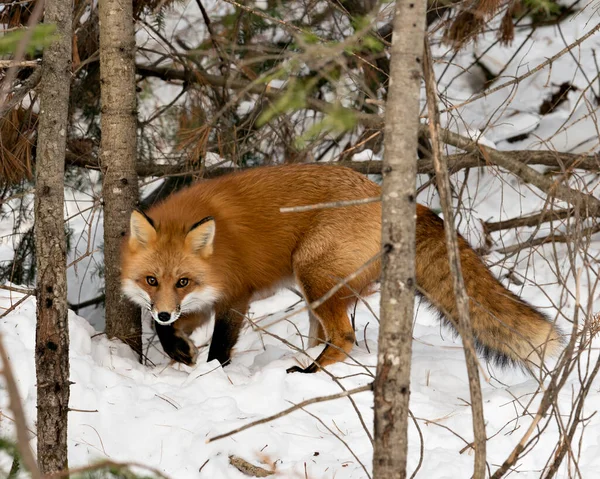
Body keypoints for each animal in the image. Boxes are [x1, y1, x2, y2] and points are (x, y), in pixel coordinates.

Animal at [120, 163, 564, 374]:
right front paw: (180, 351)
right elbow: (165, 331)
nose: (163, 310)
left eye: (183, 280)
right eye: (152, 280)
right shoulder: (198, 301)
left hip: (312, 274)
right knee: (327, 333)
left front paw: (211, 371)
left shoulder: (235, 294)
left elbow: (221, 344)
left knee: (344, 338)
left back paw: (309, 371)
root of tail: (384, 195)